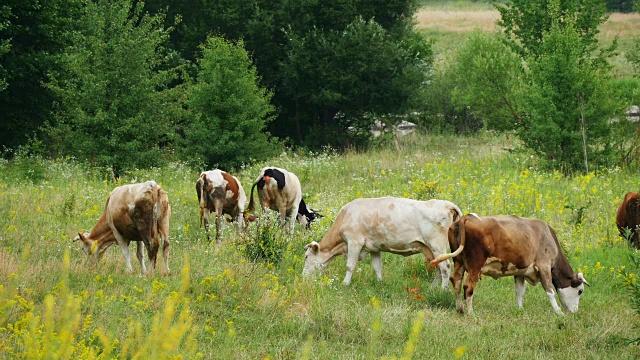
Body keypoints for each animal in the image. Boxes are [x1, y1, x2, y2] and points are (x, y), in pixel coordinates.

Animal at [302, 197, 462, 286]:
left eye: (306, 257)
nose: (303, 277)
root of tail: (445, 204)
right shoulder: (374, 248)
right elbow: (377, 267)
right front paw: (380, 283)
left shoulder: (355, 242)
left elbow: (350, 266)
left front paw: (345, 284)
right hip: (432, 249)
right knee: (438, 268)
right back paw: (432, 289)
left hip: (436, 245)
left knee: (445, 267)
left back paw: (442, 290)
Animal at [428, 214, 588, 316]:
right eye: (580, 291)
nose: (575, 311)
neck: (548, 236)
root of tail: (466, 218)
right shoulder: (544, 266)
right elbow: (550, 290)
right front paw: (558, 312)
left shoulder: (520, 271)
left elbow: (519, 291)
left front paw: (520, 309)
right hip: (475, 265)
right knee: (468, 287)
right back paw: (470, 313)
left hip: (459, 261)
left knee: (456, 281)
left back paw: (459, 309)